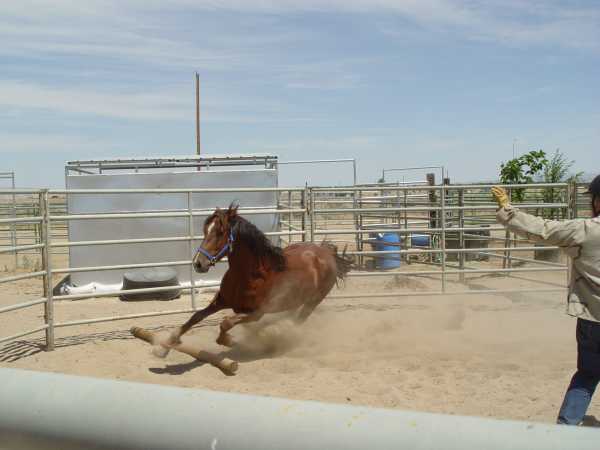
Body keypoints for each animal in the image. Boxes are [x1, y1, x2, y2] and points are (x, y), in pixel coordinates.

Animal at [152, 203, 353, 353]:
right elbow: (196, 317)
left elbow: (226, 323)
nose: (199, 264)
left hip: (313, 301)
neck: (250, 275)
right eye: (205, 231)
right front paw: (166, 345)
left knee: (296, 321)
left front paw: (229, 341)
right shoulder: (221, 300)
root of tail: (326, 253)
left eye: (220, 232)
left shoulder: (256, 312)